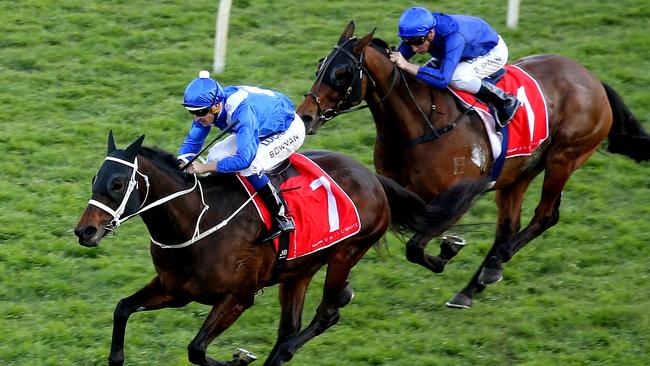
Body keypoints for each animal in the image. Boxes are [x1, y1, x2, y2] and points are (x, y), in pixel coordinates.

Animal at [73, 132, 484, 366]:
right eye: (94, 178)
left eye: (118, 182)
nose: (84, 231)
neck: (195, 221)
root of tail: (372, 176)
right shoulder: (175, 291)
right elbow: (122, 308)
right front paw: (116, 356)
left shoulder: (238, 297)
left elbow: (197, 349)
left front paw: (238, 360)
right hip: (298, 270)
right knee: (292, 326)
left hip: (345, 254)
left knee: (326, 314)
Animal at [294, 21, 648, 308]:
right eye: (319, 66)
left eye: (342, 73)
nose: (306, 116)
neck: (420, 126)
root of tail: (593, 79)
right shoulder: (400, 195)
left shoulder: (462, 194)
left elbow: (416, 247)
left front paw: (447, 251)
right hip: (518, 175)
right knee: (508, 228)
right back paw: (474, 284)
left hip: (565, 157)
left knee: (545, 216)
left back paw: (494, 264)